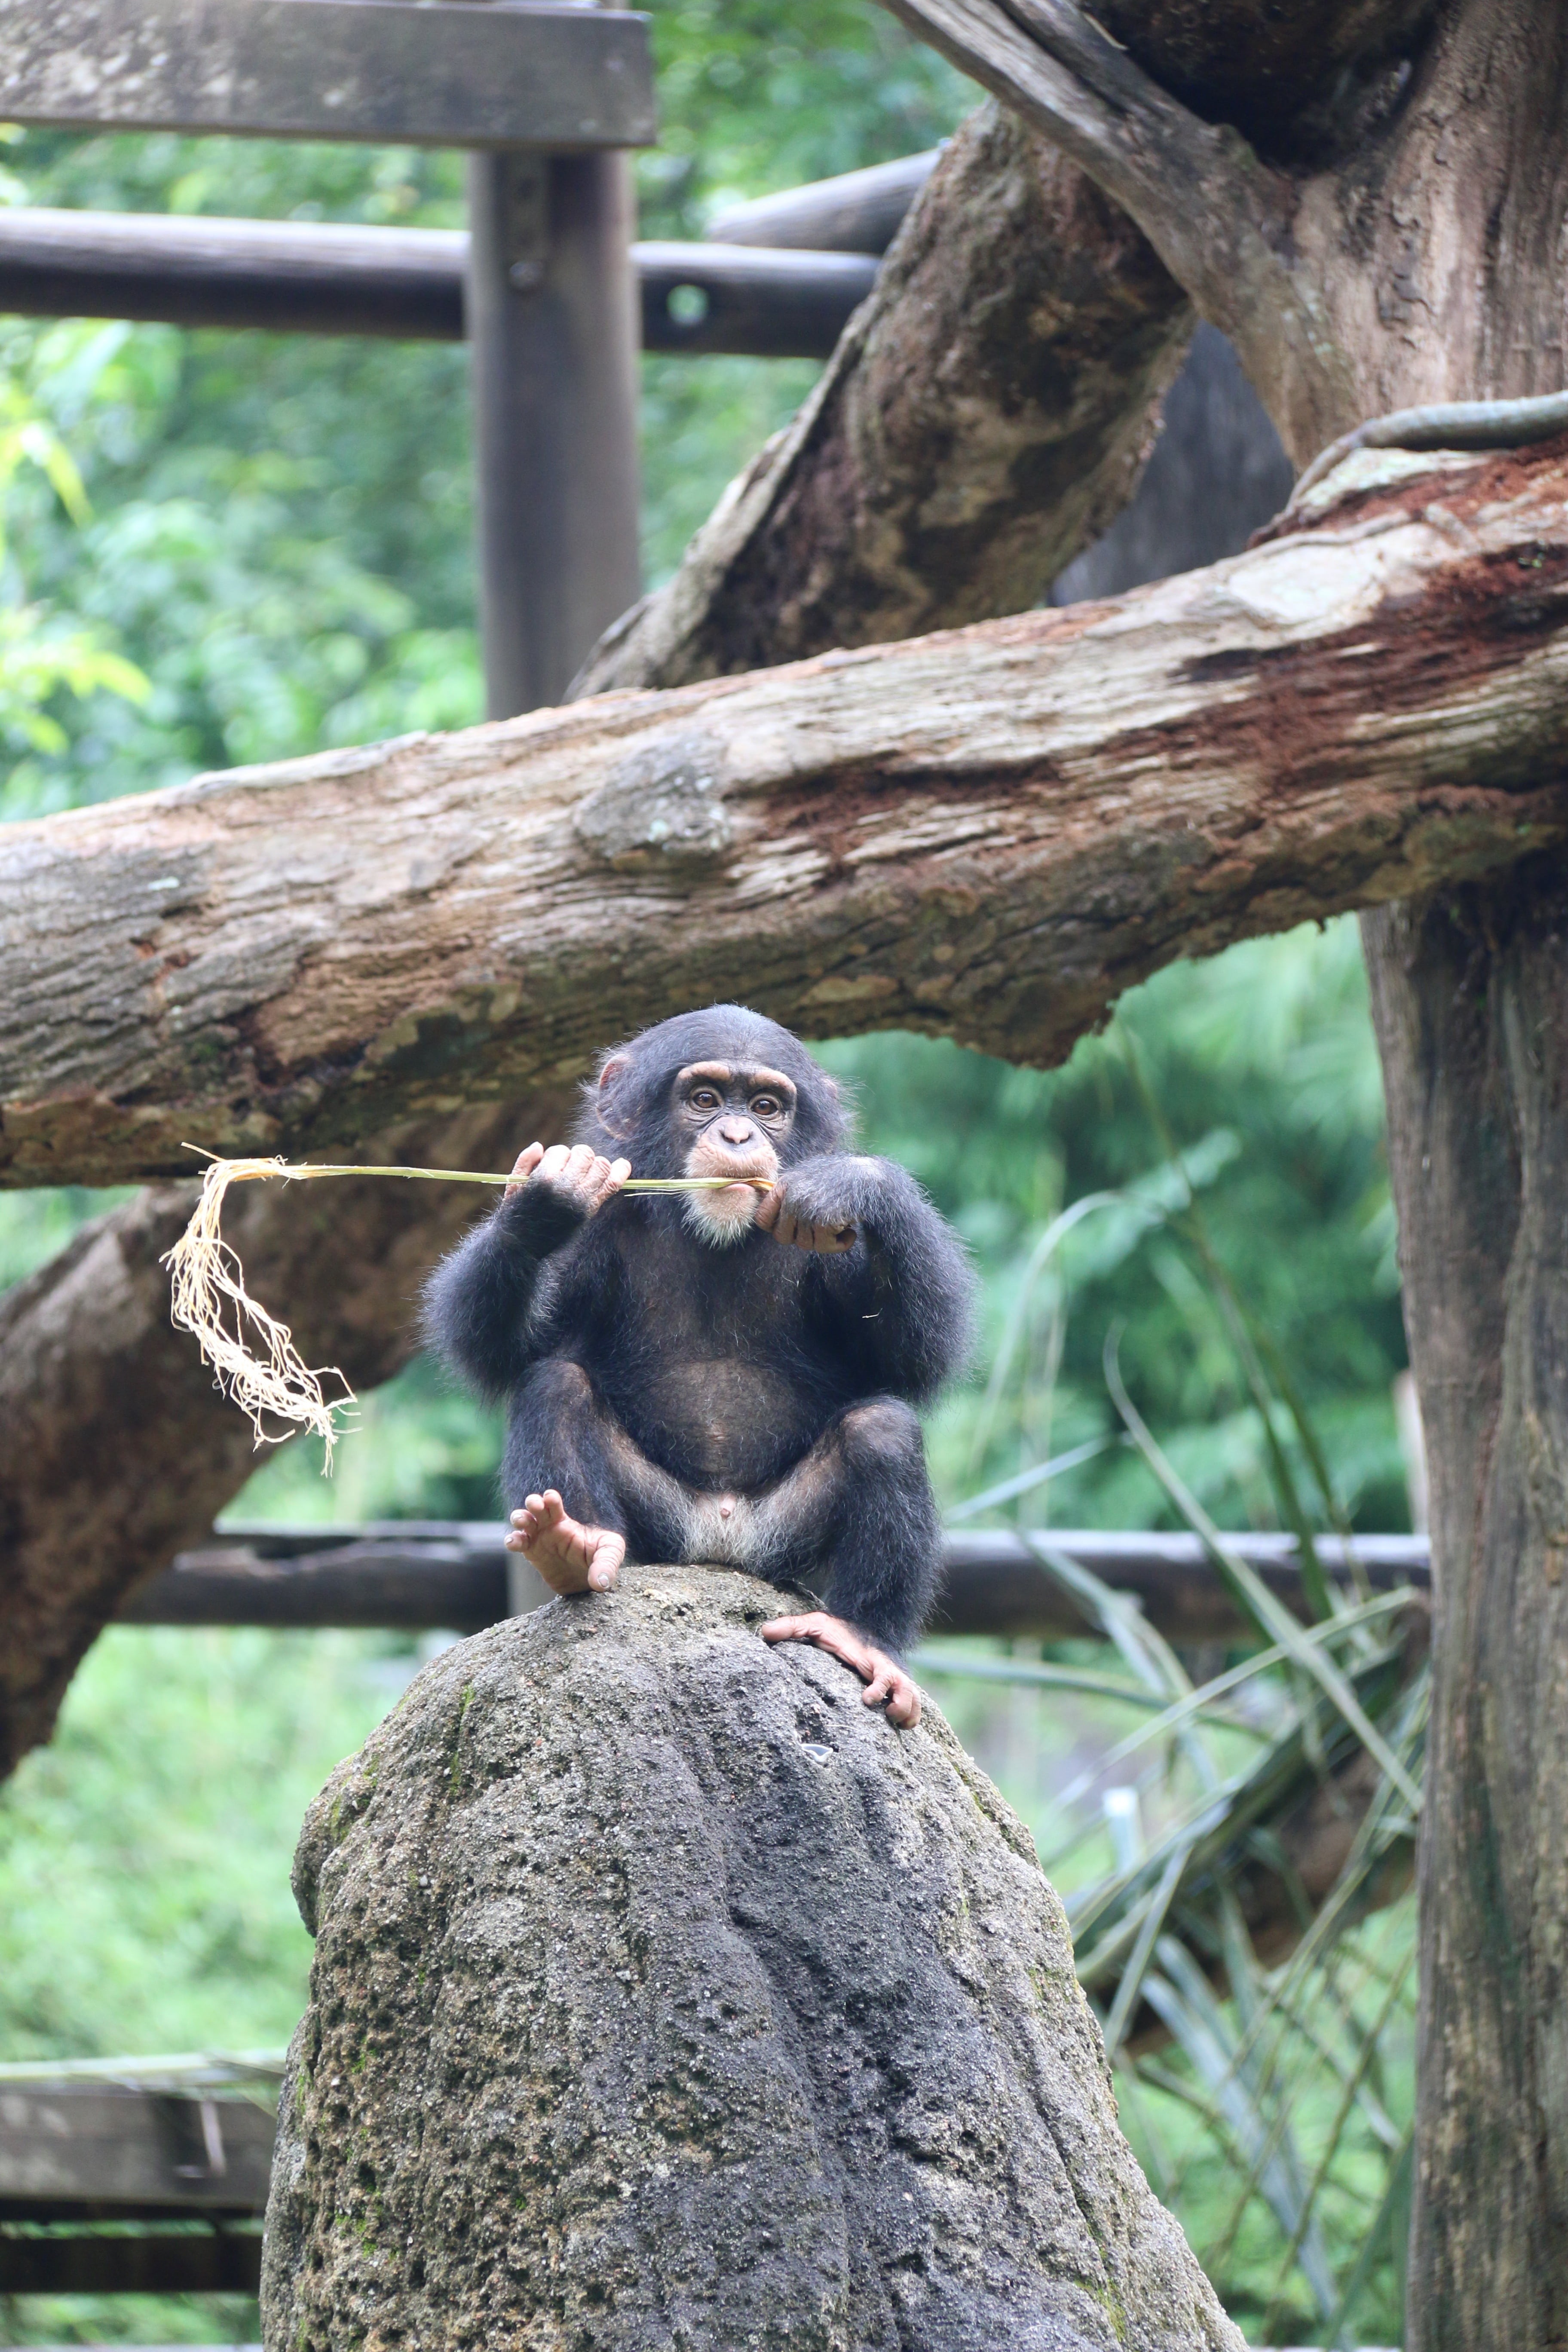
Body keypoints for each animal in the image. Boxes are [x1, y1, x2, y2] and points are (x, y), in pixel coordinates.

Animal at [423, 1006, 974, 1728]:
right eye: (706, 1100)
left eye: (767, 1107)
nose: (738, 1133)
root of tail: (722, 1548)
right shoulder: (600, 1225)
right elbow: (503, 1348)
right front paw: (542, 1203)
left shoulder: (835, 1246)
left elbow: (909, 1356)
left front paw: (856, 1182)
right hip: (662, 1530)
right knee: (555, 1386)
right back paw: (574, 1548)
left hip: (782, 1540)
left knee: (883, 1430)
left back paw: (864, 1638)